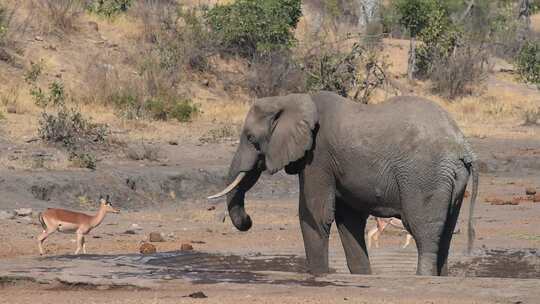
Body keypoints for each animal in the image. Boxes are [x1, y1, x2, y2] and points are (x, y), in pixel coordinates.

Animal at [209, 90, 478, 276]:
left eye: (251, 138)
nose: (248, 221)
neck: (291, 98)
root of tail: (463, 148)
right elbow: (349, 219)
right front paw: (362, 276)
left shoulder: (318, 157)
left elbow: (314, 214)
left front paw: (319, 275)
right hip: (450, 179)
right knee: (446, 233)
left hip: (424, 176)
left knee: (423, 230)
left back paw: (423, 276)